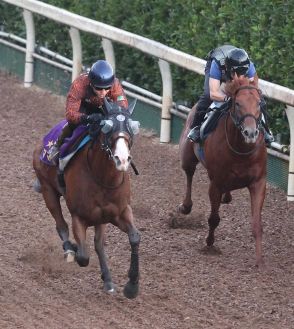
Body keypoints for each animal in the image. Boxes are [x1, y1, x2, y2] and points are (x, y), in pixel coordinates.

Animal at [32, 99, 141, 298]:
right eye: (107, 127)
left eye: (132, 127)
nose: (121, 160)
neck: (102, 177)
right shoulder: (79, 216)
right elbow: (83, 256)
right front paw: (74, 249)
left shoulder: (119, 212)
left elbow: (135, 237)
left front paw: (131, 286)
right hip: (47, 189)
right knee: (61, 225)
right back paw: (69, 248)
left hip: (101, 218)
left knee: (98, 244)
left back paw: (108, 280)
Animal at [178, 77, 268, 266]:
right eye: (238, 103)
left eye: (259, 103)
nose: (250, 133)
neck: (240, 150)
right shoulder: (216, 184)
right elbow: (213, 219)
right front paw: (209, 243)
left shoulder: (259, 182)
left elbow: (257, 225)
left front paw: (260, 261)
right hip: (187, 156)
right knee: (189, 174)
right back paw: (186, 206)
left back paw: (227, 197)